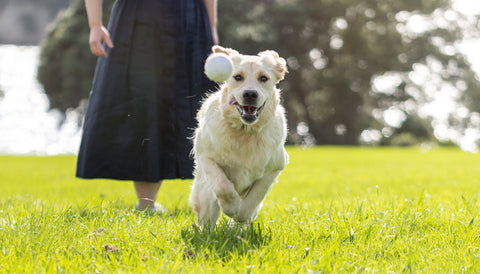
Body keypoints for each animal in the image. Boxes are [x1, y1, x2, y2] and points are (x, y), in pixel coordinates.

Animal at [189, 46, 288, 228]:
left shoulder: (275, 167)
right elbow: (222, 186)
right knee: (207, 219)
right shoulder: (206, 157)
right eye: (238, 77)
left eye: (263, 78)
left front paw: (239, 214)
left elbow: (254, 199)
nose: (250, 94)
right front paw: (231, 207)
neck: (245, 131)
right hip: (204, 193)